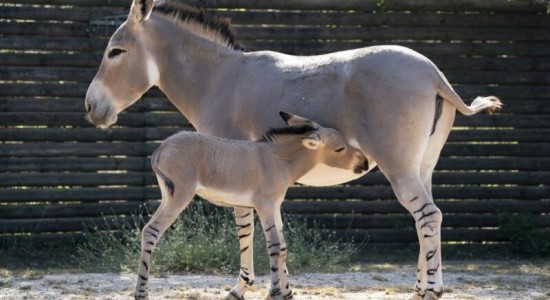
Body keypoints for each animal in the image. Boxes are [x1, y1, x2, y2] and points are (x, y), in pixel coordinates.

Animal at [136, 112, 370, 300]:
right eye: (339, 148)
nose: (365, 163)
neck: (278, 160)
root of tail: (162, 148)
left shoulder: (275, 206)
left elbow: (283, 247)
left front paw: (287, 293)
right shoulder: (264, 205)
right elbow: (274, 246)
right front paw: (276, 292)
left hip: (168, 197)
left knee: (149, 231)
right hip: (179, 197)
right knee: (151, 231)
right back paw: (141, 293)